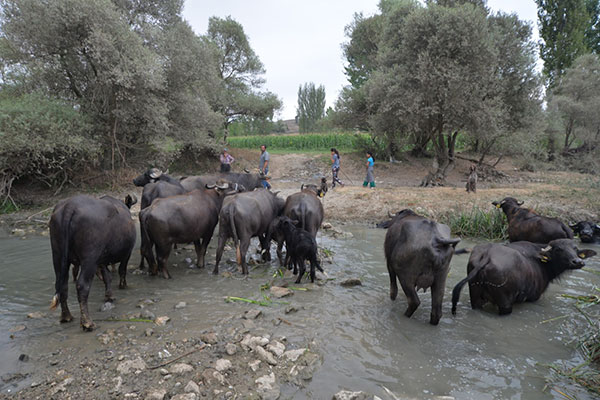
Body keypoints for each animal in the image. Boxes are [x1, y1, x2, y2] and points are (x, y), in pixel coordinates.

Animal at [48, 195, 137, 332]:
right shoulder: (127, 253)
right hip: (89, 259)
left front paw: (109, 296)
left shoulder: (101, 261)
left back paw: (66, 316)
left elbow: (107, 277)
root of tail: (70, 205)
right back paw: (88, 323)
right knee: (82, 286)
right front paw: (123, 286)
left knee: (62, 285)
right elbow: (122, 270)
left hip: (58, 256)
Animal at [454, 238, 596, 316]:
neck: (542, 263)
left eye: (575, 248)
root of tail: (488, 255)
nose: (577, 261)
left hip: (475, 296)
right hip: (505, 303)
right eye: (558, 249)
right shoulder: (534, 297)